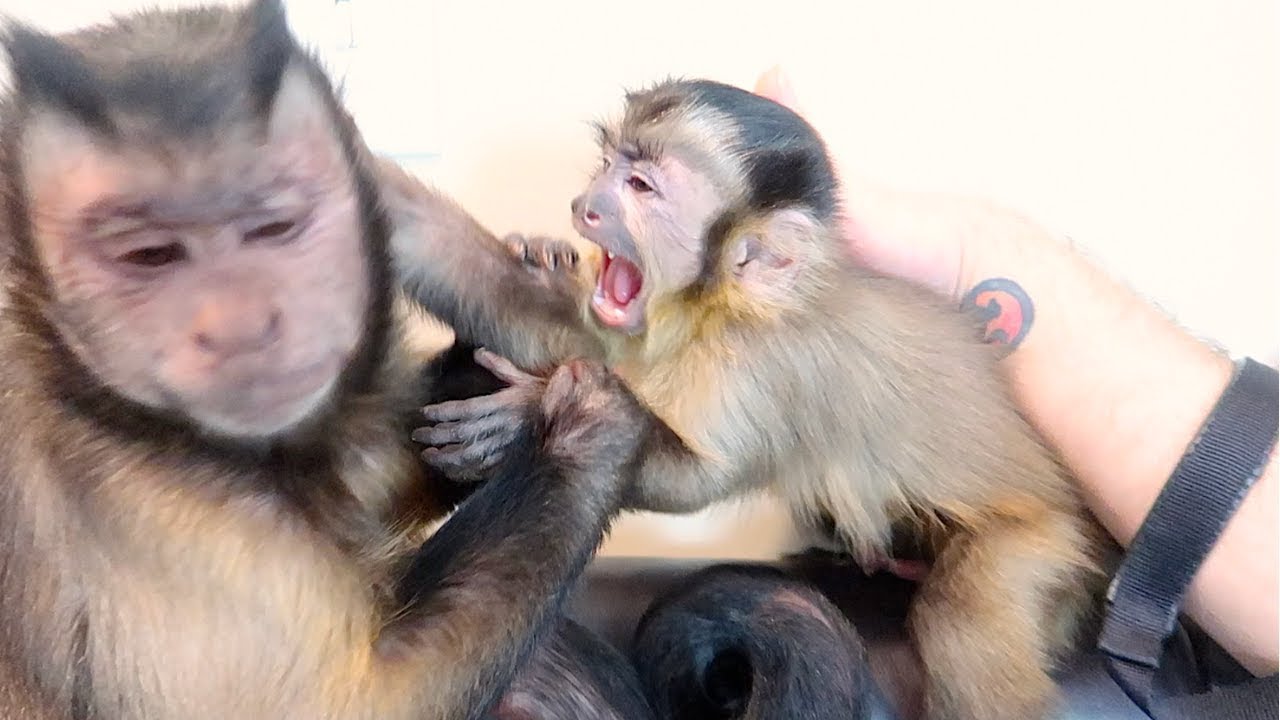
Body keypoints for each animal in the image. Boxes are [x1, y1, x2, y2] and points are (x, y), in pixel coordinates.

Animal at [0, 1, 653, 717]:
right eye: (149, 256)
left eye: (275, 227)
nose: (238, 328)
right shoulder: (126, 495)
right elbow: (354, 701)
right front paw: (589, 427)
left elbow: (385, 474)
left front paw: (505, 406)